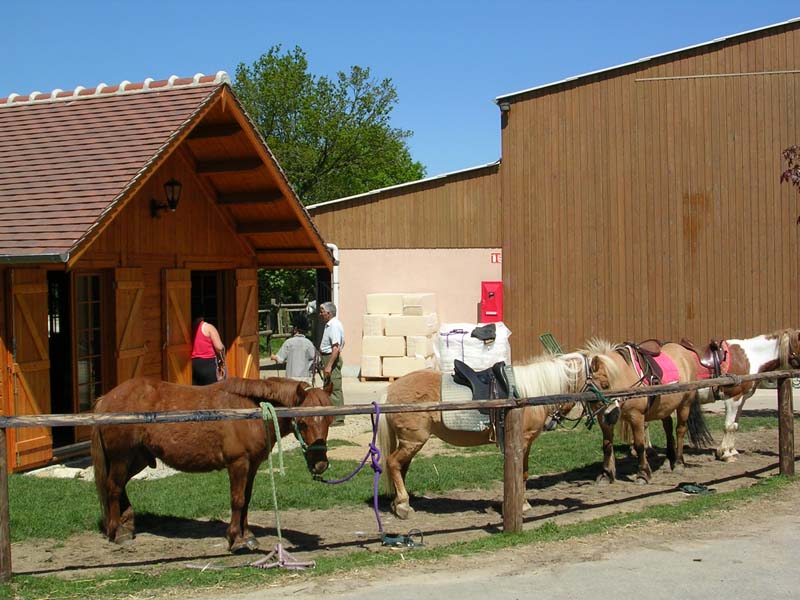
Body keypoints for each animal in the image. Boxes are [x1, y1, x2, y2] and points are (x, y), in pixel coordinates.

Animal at [92, 378, 332, 552]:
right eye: (303, 422)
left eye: (329, 421)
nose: (320, 465)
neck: (249, 410)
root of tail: (106, 398)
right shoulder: (238, 464)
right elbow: (237, 500)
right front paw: (235, 539)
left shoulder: (252, 466)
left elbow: (247, 500)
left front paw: (248, 536)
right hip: (122, 458)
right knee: (113, 488)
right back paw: (117, 531)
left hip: (137, 458)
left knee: (120, 486)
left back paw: (126, 523)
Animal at [378, 354, 592, 516]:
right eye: (596, 381)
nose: (552, 423)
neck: (527, 393)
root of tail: (391, 390)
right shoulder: (522, 442)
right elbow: (518, 474)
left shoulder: (526, 443)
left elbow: (523, 473)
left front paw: (523, 504)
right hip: (413, 441)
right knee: (393, 463)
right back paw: (403, 504)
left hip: (410, 443)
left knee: (402, 467)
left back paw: (398, 502)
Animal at [692, 328, 800, 460]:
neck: (749, 358)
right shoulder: (732, 398)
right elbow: (728, 426)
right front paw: (725, 454)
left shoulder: (741, 399)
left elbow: (735, 425)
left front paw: (731, 451)